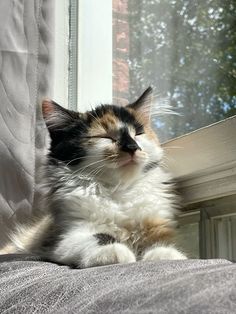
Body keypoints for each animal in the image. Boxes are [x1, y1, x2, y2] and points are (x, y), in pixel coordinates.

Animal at [0, 87, 186, 266]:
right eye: (104, 136)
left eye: (138, 133)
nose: (133, 147)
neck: (119, 189)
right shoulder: (66, 235)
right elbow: (97, 237)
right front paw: (112, 251)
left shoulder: (157, 222)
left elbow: (160, 241)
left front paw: (167, 254)